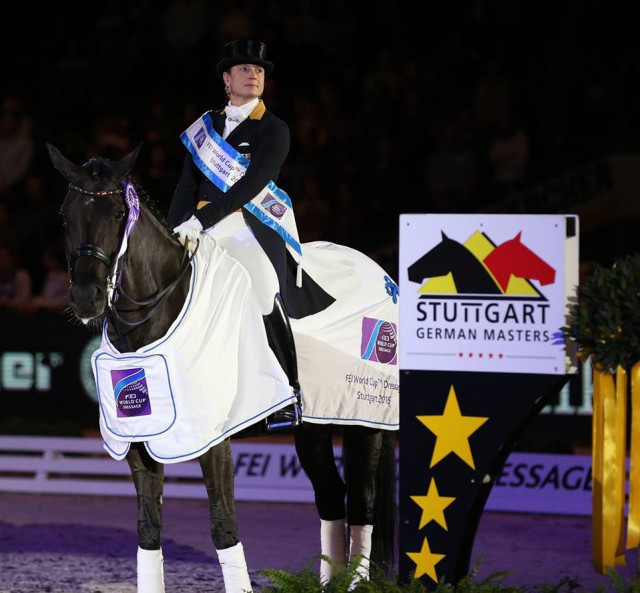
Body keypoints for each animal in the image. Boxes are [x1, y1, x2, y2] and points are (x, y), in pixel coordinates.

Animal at [47, 145, 398, 592]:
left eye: (117, 213)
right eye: (65, 214)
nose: (86, 298)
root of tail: (382, 275)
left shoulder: (214, 439)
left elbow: (223, 526)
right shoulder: (139, 441)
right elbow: (148, 529)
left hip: (365, 419)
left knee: (363, 504)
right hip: (316, 425)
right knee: (332, 496)